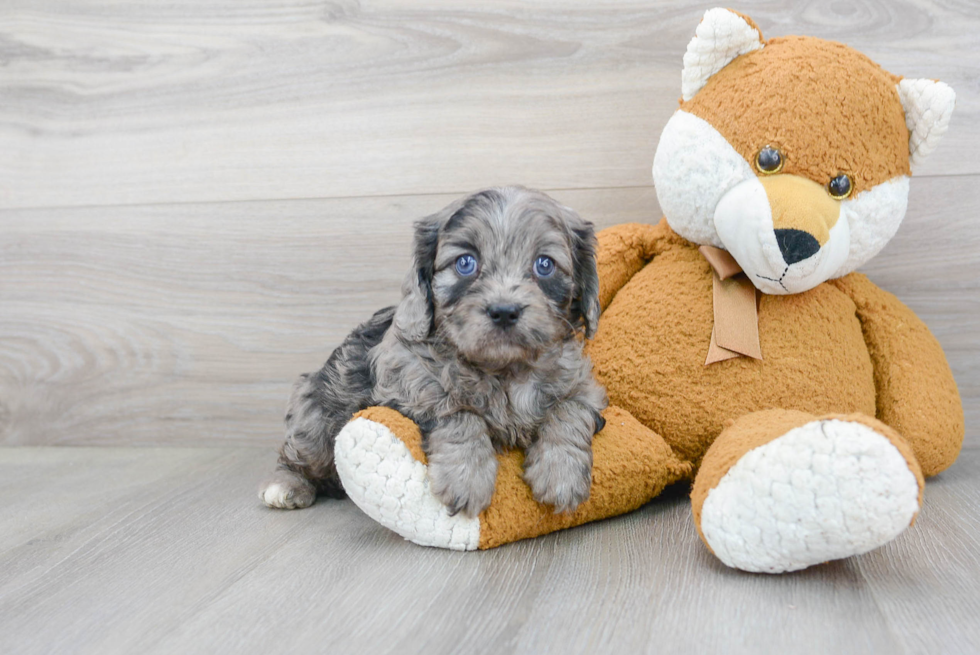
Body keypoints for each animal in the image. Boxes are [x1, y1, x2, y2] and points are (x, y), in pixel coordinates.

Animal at [260, 187, 612, 520]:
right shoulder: (409, 386)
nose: (504, 311)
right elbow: (459, 413)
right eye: (465, 263)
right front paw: (466, 478)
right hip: (316, 419)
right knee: (296, 455)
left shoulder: (585, 389)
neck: (504, 370)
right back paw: (286, 486)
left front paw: (561, 474)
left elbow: (568, 411)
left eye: (545, 264)